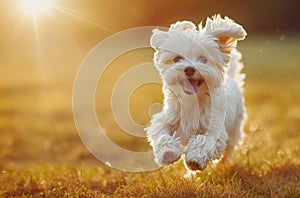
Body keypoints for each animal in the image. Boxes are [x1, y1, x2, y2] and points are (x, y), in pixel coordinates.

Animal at [145, 14, 246, 171]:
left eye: (204, 59)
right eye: (177, 59)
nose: (189, 69)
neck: (193, 100)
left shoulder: (214, 129)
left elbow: (204, 140)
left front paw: (194, 159)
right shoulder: (167, 119)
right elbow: (163, 135)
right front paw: (168, 153)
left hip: (235, 127)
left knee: (229, 148)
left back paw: (221, 165)